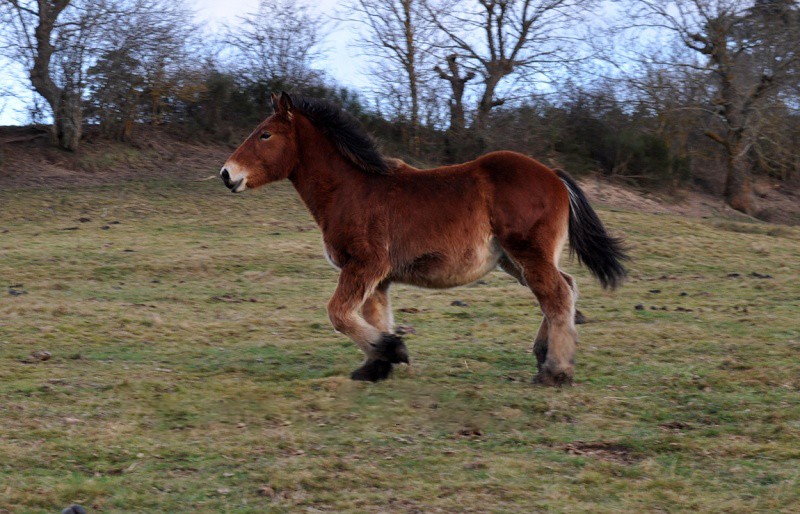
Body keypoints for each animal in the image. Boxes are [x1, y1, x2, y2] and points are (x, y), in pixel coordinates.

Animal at [222, 92, 628, 384]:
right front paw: (377, 365)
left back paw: (555, 371)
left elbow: (339, 313)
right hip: (515, 261)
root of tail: (554, 175)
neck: (351, 189)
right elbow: (373, 315)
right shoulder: (377, 277)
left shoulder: (365, 264)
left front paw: (394, 350)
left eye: (265, 134)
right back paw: (544, 355)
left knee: (557, 296)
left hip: (528, 254)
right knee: (564, 288)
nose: (227, 174)